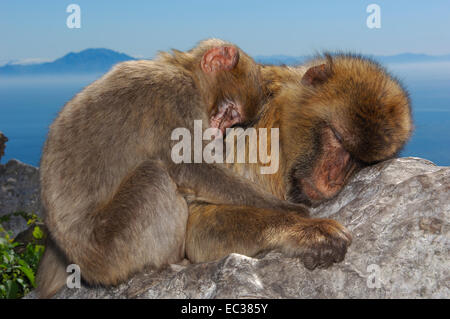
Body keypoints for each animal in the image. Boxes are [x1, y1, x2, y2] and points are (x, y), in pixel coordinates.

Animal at [37, 38, 314, 298]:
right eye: (230, 111)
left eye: (233, 120)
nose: (220, 130)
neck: (182, 69)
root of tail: (81, 264)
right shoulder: (175, 96)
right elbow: (191, 169)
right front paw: (289, 210)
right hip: (114, 250)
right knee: (155, 176)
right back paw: (173, 261)